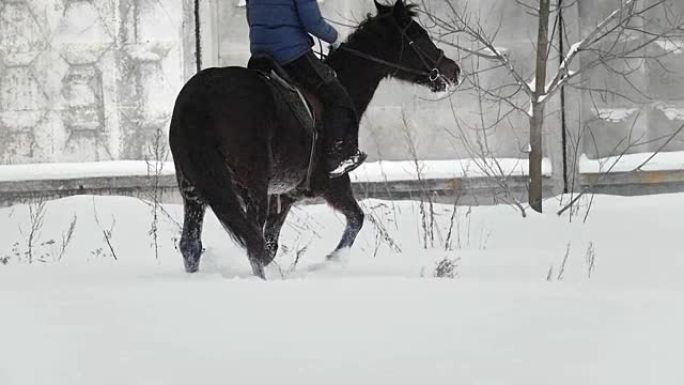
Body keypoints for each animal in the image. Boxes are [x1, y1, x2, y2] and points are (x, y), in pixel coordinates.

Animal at [168, 0, 462, 278]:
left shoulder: (285, 194)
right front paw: (333, 260)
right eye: (419, 35)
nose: (454, 71)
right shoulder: (331, 181)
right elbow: (356, 218)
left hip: (194, 188)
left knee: (193, 245)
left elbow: (272, 244)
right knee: (252, 243)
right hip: (252, 186)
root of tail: (199, 98)